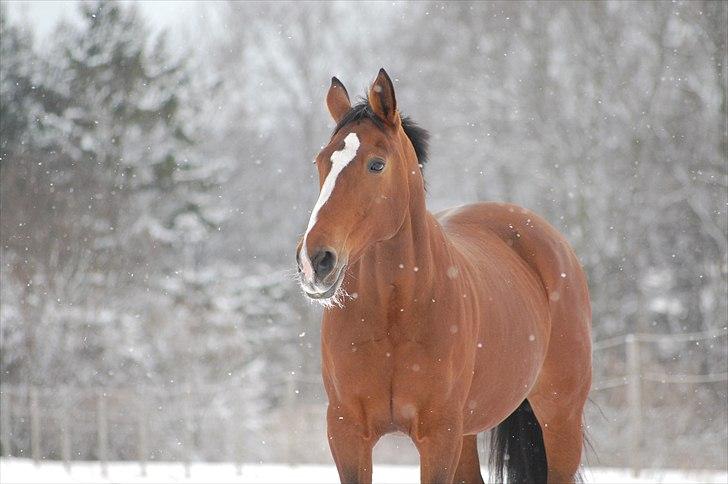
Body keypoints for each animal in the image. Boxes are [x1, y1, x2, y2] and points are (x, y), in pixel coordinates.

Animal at [296, 69, 592, 484]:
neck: (393, 312)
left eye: (376, 164)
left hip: (560, 417)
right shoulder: (347, 432)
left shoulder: (439, 434)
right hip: (468, 434)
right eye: (321, 161)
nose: (314, 260)